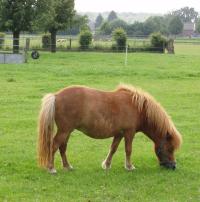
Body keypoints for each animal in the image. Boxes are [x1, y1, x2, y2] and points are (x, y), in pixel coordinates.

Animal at [36, 83, 182, 174]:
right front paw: (129, 167)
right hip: (65, 130)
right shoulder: (129, 133)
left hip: (67, 131)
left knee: (62, 147)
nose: (174, 166)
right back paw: (51, 168)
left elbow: (113, 149)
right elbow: (128, 150)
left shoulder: (119, 134)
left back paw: (67, 166)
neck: (138, 108)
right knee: (54, 146)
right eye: (170, 148)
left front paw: (106, 165)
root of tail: (56, 96)